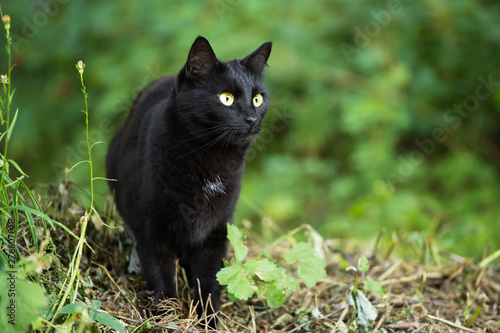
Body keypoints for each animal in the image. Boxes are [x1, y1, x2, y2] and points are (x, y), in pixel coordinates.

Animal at [103, 35, 272, 320]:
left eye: (258, 99)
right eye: (226, 98)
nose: (251, 118)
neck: (211, 160)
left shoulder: (216, 230)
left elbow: (210, 279)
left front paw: (209, 319)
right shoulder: (151, 228)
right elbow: (161, 273)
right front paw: (166, 313)